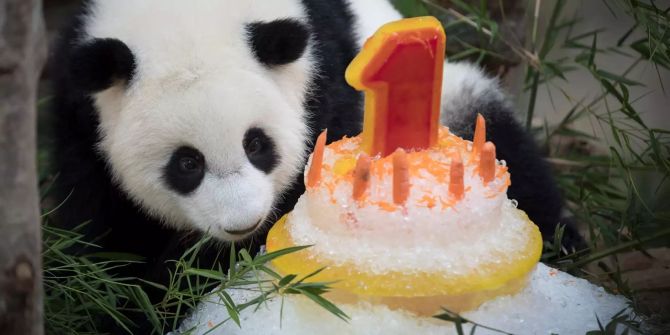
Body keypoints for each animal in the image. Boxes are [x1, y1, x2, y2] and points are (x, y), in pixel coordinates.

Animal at [50, 0, 580, 334]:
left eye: (257, 144)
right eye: (187, 163)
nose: (242, 223)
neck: (181, 17)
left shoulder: (323, 75)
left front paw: (201, 284)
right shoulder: (80, 117)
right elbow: (101, 237)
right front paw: (131, 304)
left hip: (457, 97)